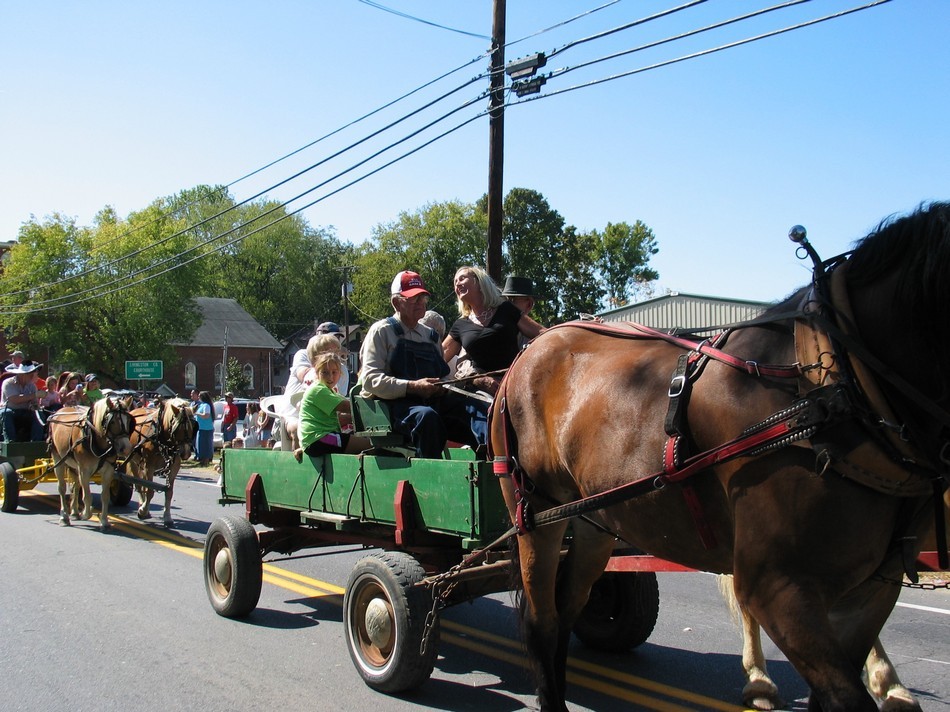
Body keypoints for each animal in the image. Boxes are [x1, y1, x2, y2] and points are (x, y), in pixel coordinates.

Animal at [46, 398, 135, 532]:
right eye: (113, 421)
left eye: (129, 420)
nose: (126, 449)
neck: (93, 436)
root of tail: (58, 411)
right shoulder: (84, 470)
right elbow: (87, 495)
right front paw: (86, 514)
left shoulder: (108, 471)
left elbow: (105, 496)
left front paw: (104, 522)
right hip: (58, 458)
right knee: (62, 488)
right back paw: (64, 517)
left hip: (73, 464)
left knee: (76, 485)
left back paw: (74, 512)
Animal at [490, 202, 950, 712]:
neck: (830, 389)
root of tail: (530, 351)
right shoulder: (778, 588)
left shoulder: (872, 591)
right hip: (536, 513)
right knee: (542, 622)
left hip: (595, 518)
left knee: (567, 607)